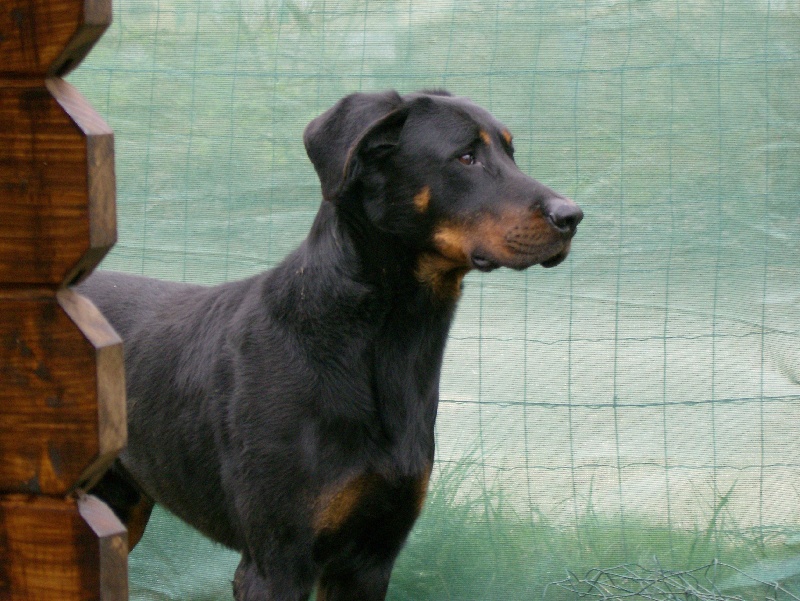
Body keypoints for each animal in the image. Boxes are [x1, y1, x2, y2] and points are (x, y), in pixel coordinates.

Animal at [81, 90, 580, 600]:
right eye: (465, 157)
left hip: (120, 502)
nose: (572, 216)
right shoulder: (276, 563)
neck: (386, 341)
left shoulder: (370, 559)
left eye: (511, 153)